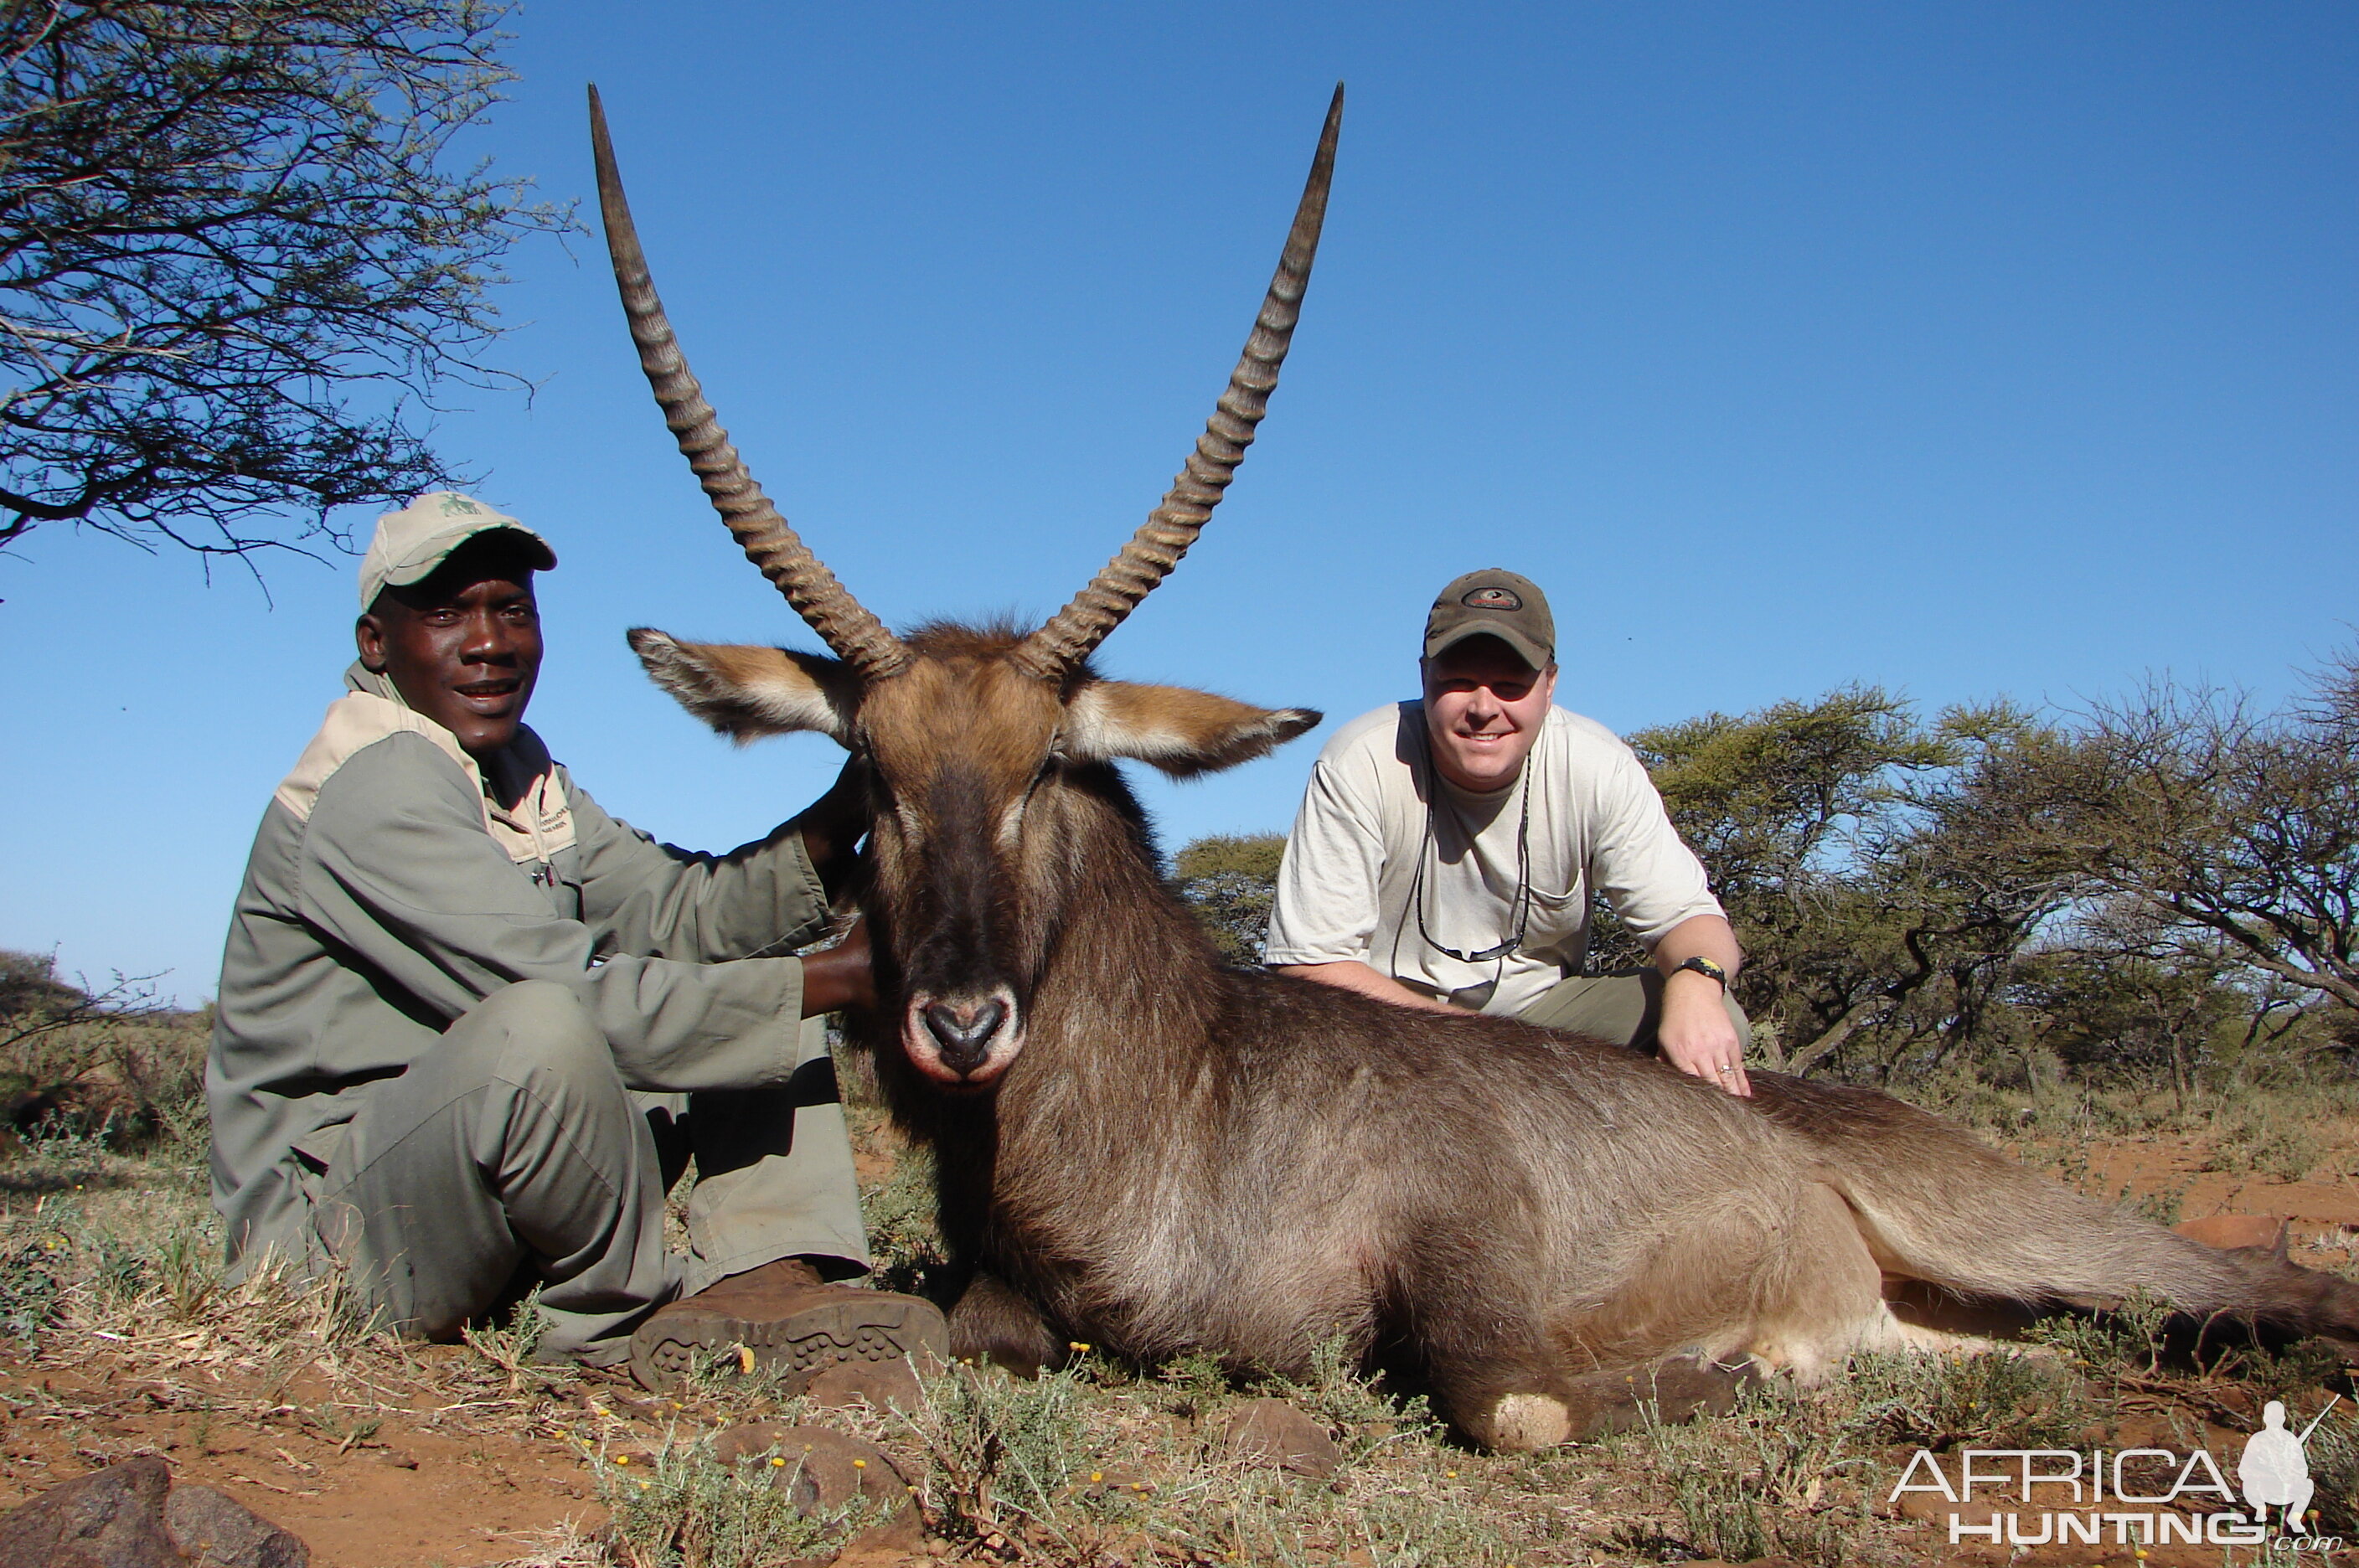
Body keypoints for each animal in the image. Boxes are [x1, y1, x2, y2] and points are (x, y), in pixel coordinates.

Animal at [590, 91, 2359, 1452]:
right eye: (867, 782)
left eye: (1045, 769)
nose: (960, 1025)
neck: (1195, 1099)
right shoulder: (1011, 1309)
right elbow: (945, 1333)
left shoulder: (1480, 1281)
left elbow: (1518, 1404)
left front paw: (1743, 1371)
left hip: (2052, 1234)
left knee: (2274, 1287)